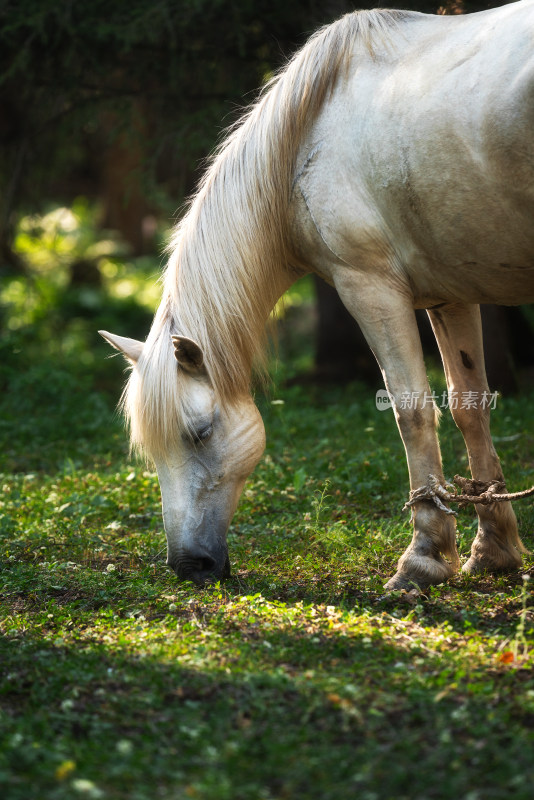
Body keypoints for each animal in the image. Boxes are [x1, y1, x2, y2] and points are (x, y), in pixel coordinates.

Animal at [102, 0, 532, 588]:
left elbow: (413, 412)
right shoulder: (452, 295)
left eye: (199, 433)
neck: (310, 130)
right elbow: (471, 407)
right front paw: (494, 550)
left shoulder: (370, 286)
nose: (189, 567)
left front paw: (422, 559)